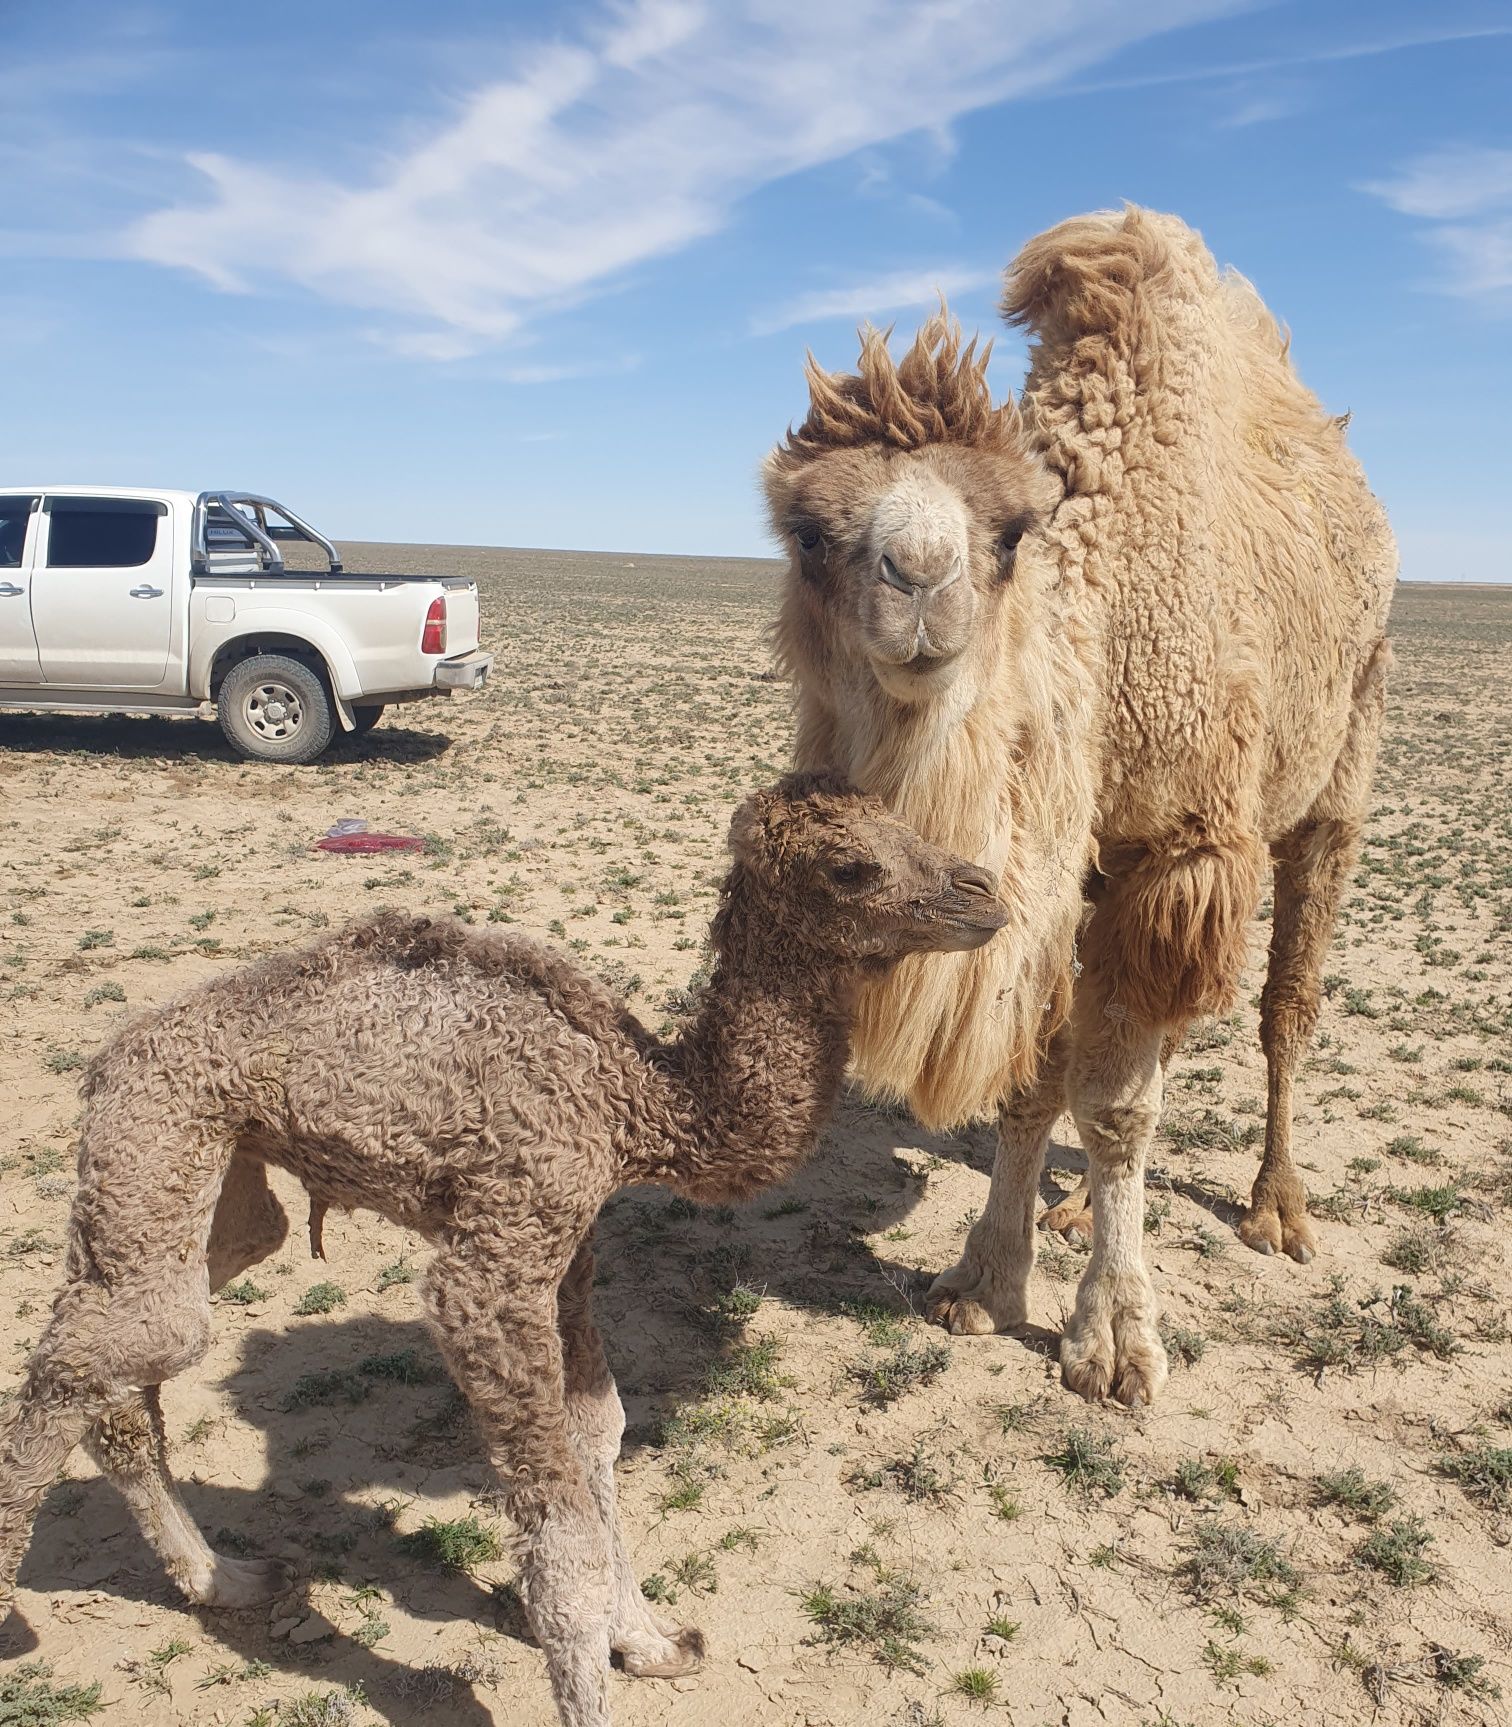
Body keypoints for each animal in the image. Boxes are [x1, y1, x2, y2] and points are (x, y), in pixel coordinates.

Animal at [0, 780, 1001, 1727]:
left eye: (907, 822)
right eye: (849, 867)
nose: (985, 893)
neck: (639, 1099)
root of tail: (108, 1056)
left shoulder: (573, 1245)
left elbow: (601, 1435)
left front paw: (648, 1641)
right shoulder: (496, 1257)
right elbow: (558, 1530)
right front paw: (598, 1677)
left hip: (216, 1177)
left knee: (122, 1370)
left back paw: (227, 1579)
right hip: (154, 1131)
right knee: (94, 1355)